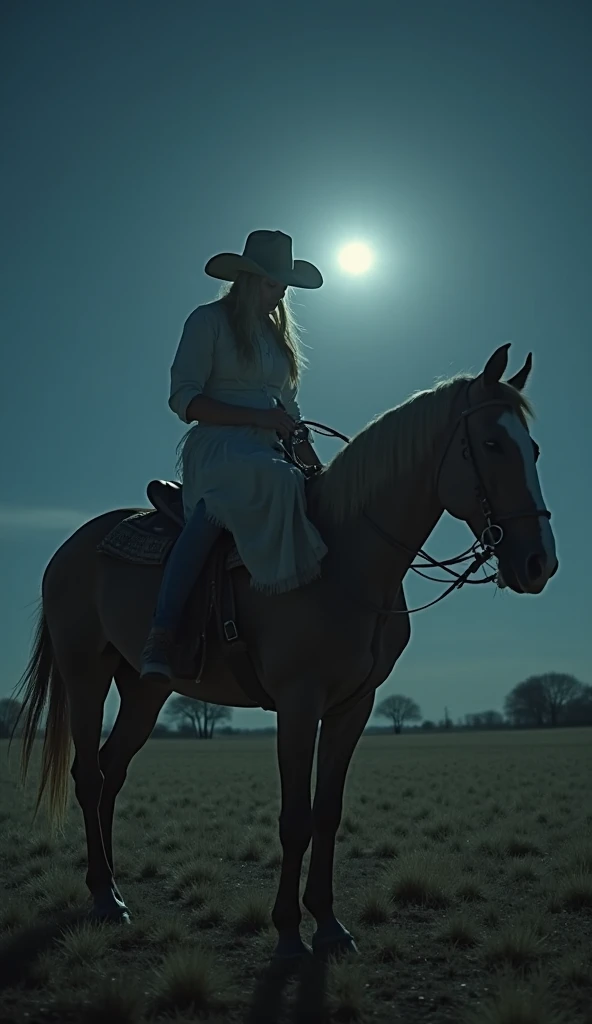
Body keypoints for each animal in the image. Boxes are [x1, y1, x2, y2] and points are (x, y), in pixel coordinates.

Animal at [16, 348, 557, 962]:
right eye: (491, 444)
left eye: (533, 449)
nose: (539, 562)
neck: (344, 558)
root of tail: (69, 548)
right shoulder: (299, 704)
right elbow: (295, 818)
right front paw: (289, 934)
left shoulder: (353, 706)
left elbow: (327, 812)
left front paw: (329, 924)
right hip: (85, 674)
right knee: (89, 775)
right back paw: (105, 897)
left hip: (146, 691)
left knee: (112, 771)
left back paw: (111, 885)